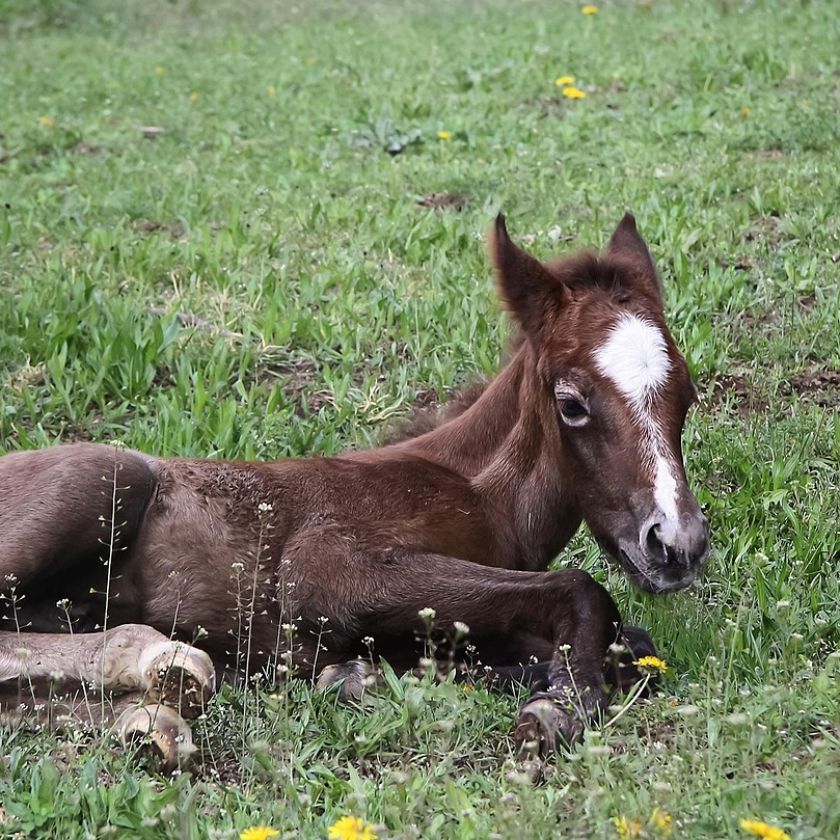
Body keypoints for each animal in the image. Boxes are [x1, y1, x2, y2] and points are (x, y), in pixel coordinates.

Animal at [0, 213, 709, 770]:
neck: (479, 491)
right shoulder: (328, 567)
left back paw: (151, 717)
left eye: (688, 392)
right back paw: (162, 664)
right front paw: (556, 706)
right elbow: (582, 590)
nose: (677, 544)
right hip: (108, 481)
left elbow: (632, 647)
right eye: (572, 404)